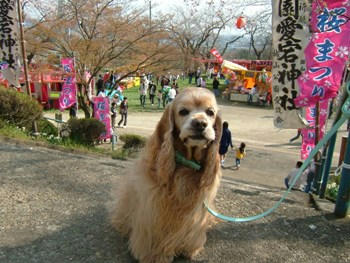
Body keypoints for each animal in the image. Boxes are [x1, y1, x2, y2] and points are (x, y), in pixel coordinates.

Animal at [110, 87, 223, 262]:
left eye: (210, 112)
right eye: (183, 111)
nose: (200, 123)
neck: (187, 162)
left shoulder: (198, 208)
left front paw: (190, 249)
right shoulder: (154, 203)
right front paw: (152, 255)